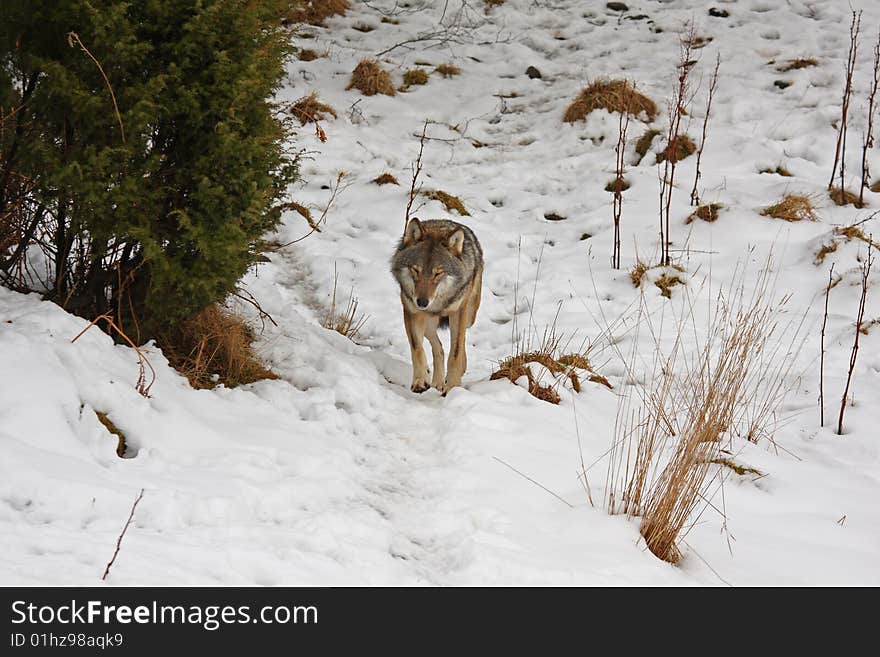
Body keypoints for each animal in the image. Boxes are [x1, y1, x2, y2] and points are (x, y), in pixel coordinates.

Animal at [392, 217, 484, 394]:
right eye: (416, 270)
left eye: (438, 273)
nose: (422, 302)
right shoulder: (411, 312)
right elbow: (417, 348)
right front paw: (420, 381)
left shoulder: (458, 312)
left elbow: (455, 352)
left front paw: (454, 386)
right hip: (428, 323)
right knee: (439, 348)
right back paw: (437, 382)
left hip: (469, 316)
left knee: (460, 340)